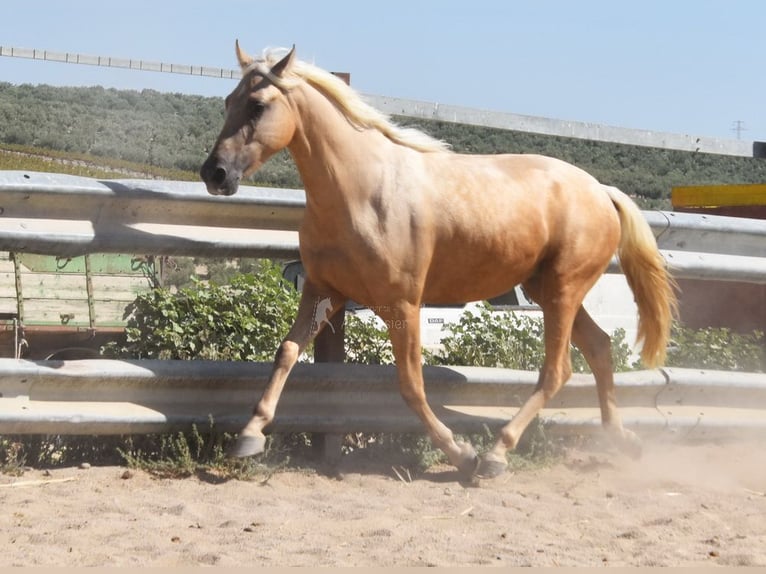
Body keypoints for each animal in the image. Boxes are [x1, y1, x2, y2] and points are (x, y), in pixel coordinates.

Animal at [200, 42, 680, 480]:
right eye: (227, 102)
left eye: (258, 105)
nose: (214, 174)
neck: (361, 192)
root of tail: (602, 191)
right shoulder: (324, 292)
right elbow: (286, 352)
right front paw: (249, 437)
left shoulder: (402, 305)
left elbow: (411, 384)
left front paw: (461, 453)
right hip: (548, 290)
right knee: (599, 348)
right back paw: (623, 440)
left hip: (564, 289)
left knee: (556, 370)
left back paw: (495, 455)